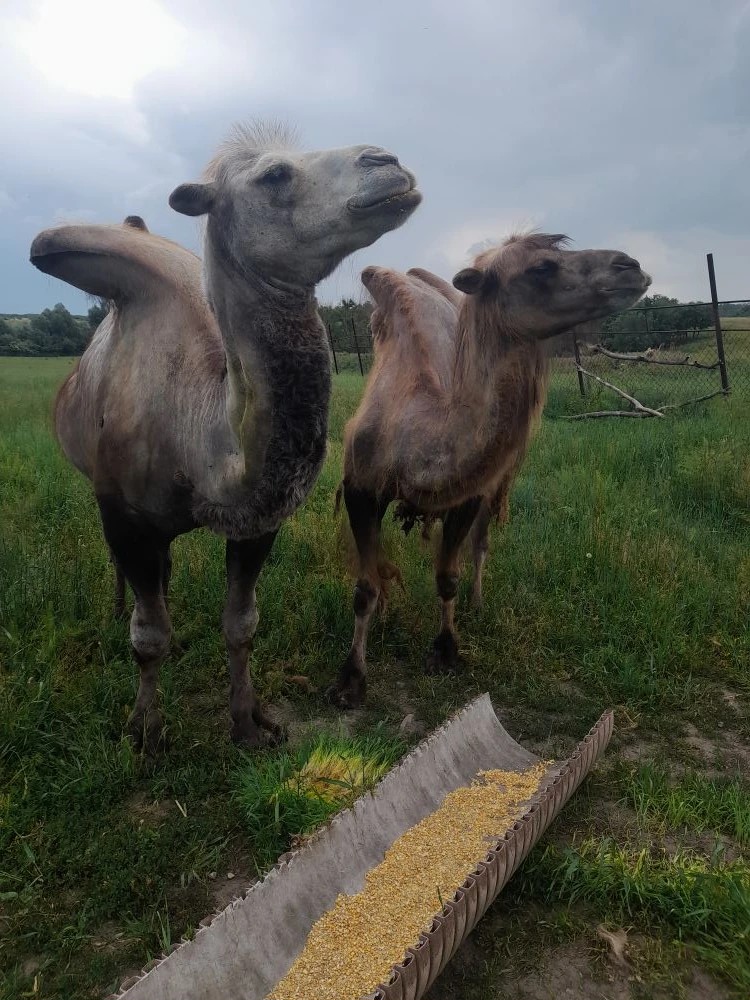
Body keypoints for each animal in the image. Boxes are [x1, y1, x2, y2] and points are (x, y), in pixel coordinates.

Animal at [30, 123, 421, 751]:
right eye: (275, 175)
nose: (387, 160)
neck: (201, 442)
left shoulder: (258, 524)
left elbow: (241, 623)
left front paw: (249, 723)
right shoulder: (123, 514)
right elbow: (149, 636)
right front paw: (146, 733)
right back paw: (118, 612)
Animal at [329, 233, 651, 708]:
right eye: (541, 267)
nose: (631, 266)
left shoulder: (469, 493)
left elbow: (448, 576)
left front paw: (446, 648)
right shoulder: (361, 488)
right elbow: (364, 588)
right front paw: (351, 678)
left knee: (481, 544)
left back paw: (477, 603)